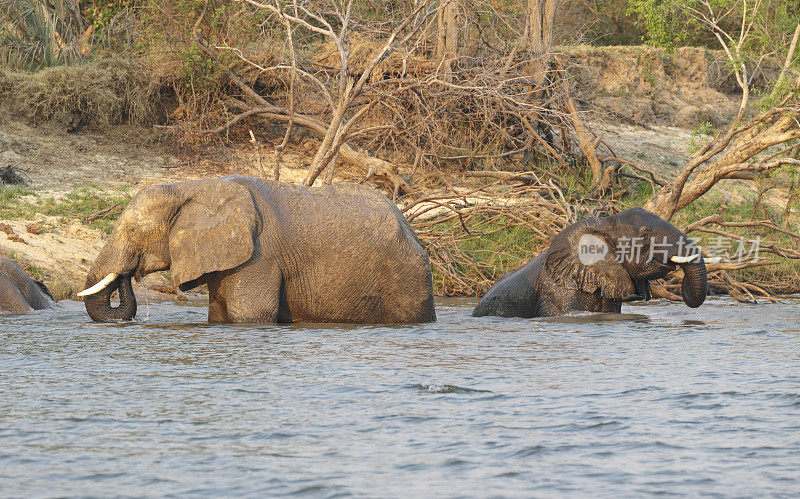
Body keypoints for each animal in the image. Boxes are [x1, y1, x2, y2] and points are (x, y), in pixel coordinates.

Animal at [78, 176, 434, 324]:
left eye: (133, 231)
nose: (128, 276)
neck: (191, 186)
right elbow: (219, 314)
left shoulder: (260, 255)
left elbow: (249, 314)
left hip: (406, 274)